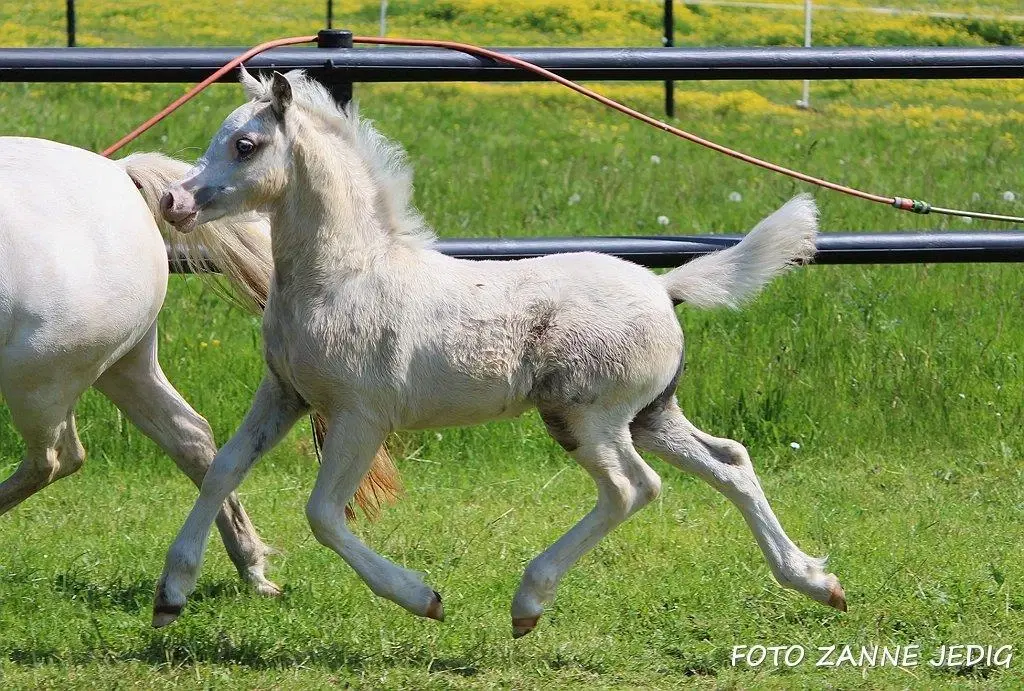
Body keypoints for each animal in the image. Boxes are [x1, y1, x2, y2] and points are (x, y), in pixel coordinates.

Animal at [0, 136, 397, 593]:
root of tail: (118, 174)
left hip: (38, 379)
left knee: (56, 458)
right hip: (121, 367)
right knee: (192, 437)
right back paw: (250, 568)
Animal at [148, 71, 843, 638]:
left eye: (246, 145)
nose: (173, 202)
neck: (345, 277)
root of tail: (664, 288)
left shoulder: (360, 416)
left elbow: (322, 514)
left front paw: (423, 597)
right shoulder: (285, 392)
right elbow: (223, 467)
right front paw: (171, 593)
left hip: (585, 416)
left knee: (632, 488)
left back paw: (528, 602)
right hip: (649, 415)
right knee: (730, 463)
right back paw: (815, 580)